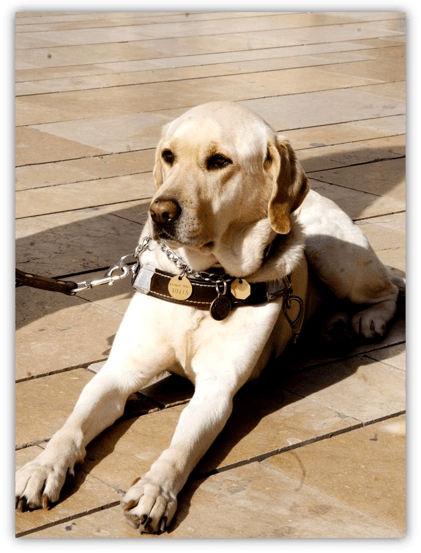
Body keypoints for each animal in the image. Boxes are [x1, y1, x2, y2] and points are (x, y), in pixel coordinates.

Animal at [15, 101, 402, 534]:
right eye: (168, 156)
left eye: (219, 161)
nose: (159, 212)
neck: (202, 279)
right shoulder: (118, 373)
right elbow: (71, 427)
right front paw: (42, 467)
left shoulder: (216, 391)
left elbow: (181, 446)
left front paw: (156, 490)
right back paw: (335, 326)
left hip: (334, 254)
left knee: (392, 286)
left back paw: (368, 320)